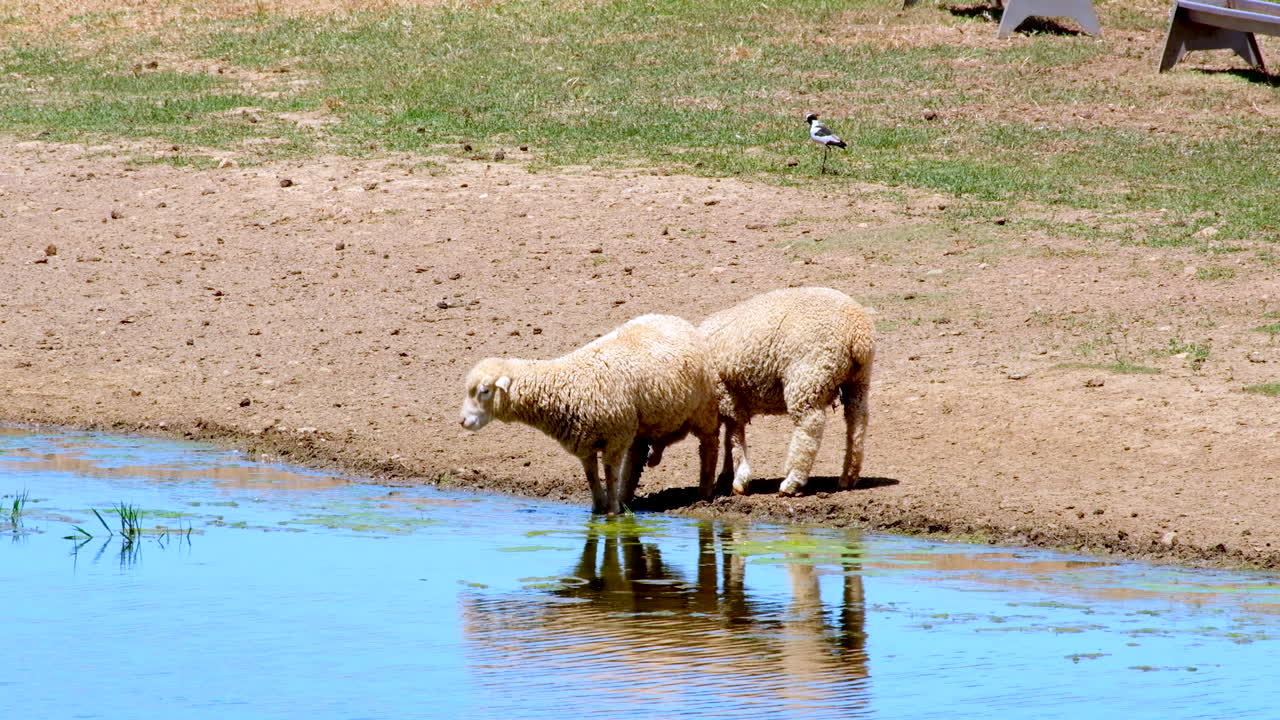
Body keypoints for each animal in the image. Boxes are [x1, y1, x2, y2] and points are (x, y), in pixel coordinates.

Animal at [458, 313, 721, 515]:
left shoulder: (614, 440)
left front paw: (612, 512)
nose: (462, 421)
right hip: (641, 422)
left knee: (709, 445)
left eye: (484, 390)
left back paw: (704, 491)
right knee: (636, 456)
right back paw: (627, 497)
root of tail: (673, 318)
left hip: (703, 409)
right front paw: (598, 509)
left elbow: (610, 475)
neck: (567, 384)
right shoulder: (583, 443)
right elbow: (592, 477)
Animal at [698, 287, 874, 497]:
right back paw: (848, 477)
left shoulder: (724, 393)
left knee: (809, 427)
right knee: (857, 423)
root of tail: (858, 333)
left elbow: (734, 437)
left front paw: (739, 479)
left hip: (807, 377)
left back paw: (791, 482)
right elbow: (730, 436)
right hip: (858, 381)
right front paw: (726, 476)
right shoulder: (732, 397)